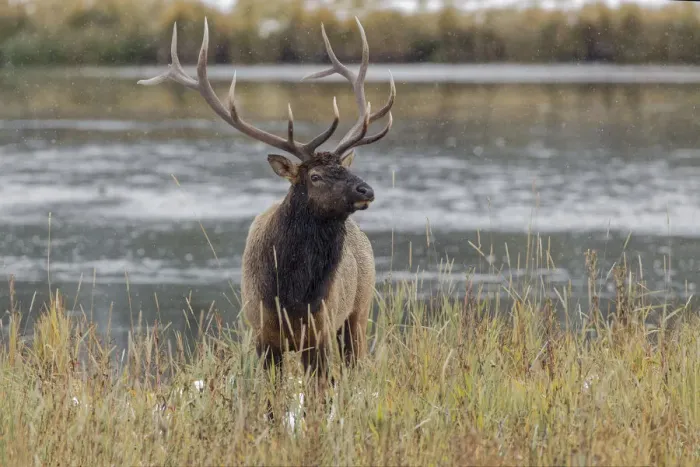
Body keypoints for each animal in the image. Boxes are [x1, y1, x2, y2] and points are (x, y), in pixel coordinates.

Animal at [138, 18, 395, 409]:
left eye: (345, 168)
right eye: (315, 176)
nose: (366, 190)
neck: (290, 294)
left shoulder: (318, 331)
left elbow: (319, 395)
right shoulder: (262, 334)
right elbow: (270, 399)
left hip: (358, 312)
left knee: (355, 369)